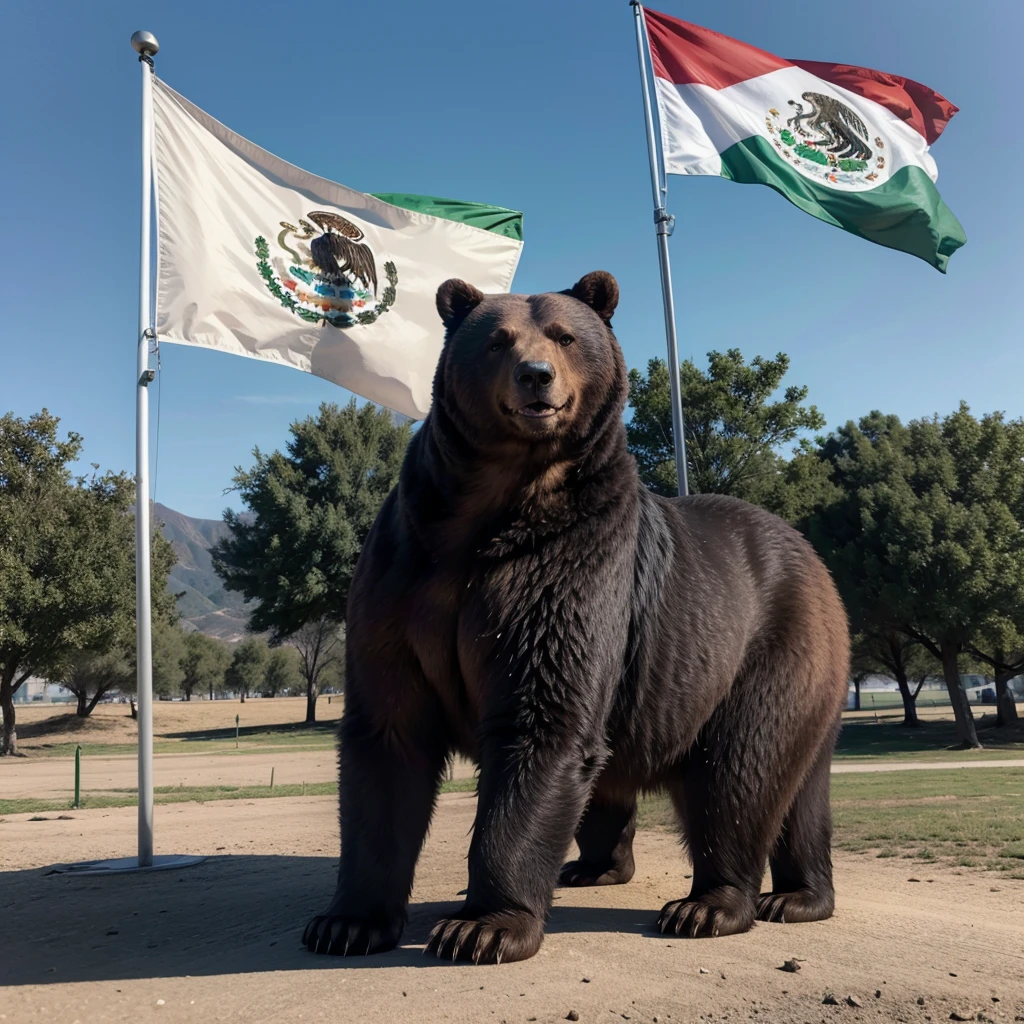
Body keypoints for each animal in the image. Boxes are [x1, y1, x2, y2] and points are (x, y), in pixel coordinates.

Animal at [301, 268, 847, 962]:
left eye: (564, 336)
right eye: (497, 340)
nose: (535, 376)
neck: (493, 505)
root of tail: (816, 561)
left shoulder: (568, 570)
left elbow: (543, 719)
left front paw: (482, 926)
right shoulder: (404, 573)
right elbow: (388, 737)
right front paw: (346, 922)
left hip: (763, 654)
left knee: (739, 774)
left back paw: (713, 905)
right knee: (781, 792)